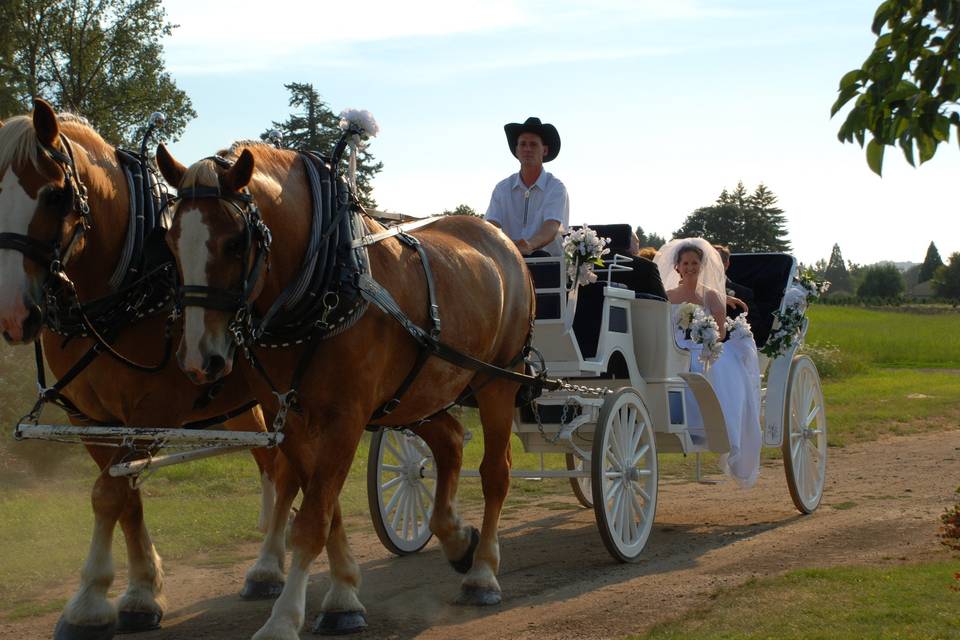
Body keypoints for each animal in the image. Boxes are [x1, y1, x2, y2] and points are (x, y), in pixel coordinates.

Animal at [0, 101, 294, 640]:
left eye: (54, 195)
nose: (13, 315)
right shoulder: (91, 418)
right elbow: (123, 496)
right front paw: (140, 591)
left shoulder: (153, 411)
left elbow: (109, 493)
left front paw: (91, 602)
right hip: (246, 406)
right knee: (272, 463)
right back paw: (270, 557)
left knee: (285, 468)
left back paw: (268, 565)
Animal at [157, 141, 532, 640]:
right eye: (171, 242)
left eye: (236, 242)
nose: (201, 359)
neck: (325, 286)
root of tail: (502, 240)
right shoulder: (292, 419)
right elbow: (322, 506)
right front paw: (342, 597)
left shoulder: (346, 417)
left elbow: (313, 517)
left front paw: (284, 618)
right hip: (417, 396)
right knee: (450, 441)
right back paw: (455, 539)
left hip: (498, 382)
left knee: (495, 473)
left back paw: (483, 573)